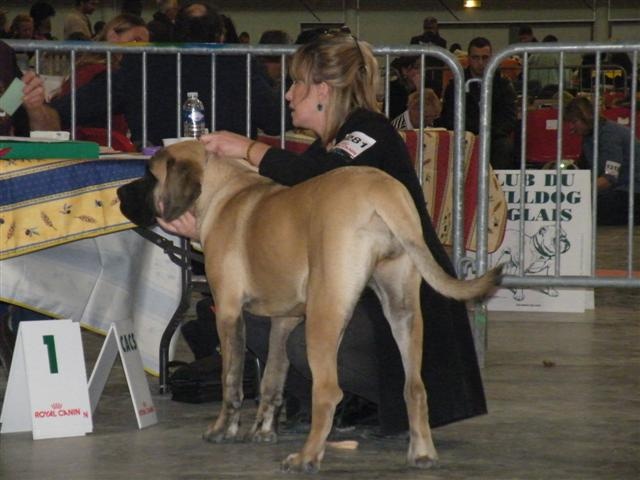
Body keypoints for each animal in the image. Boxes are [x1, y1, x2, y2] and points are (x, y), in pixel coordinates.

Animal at [117, 140, 500, 472]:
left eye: (151, 174)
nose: (118, 194)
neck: (225, 192)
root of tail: (380, 190)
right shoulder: (284, 319)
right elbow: (272, 380)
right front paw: (264, 431)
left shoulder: (227, 312)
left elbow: (231, 381)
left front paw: (222, 430)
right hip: (402, 310)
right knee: (415, 387)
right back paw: (421, 453)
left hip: (323, 316)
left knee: (328, 391)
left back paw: (306, 458)